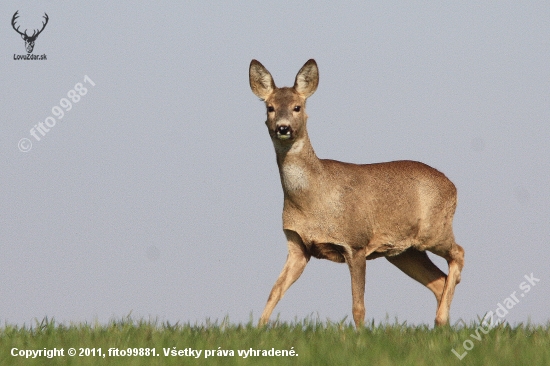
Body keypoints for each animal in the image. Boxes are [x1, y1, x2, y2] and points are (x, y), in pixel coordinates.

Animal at [250, 58, 466, 328]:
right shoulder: (298, 246)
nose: (283, 127)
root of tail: (453, 186)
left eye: (297, 107)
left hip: (434, 230)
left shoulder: (356, 242)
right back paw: (440, 325)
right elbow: (274, 291)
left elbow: (358, 306)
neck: (313, 197)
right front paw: (258, 329)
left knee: (459, 254)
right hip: (405, 251)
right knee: (439, 280)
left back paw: (440, 319)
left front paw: (360, 334)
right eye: (269, 107)